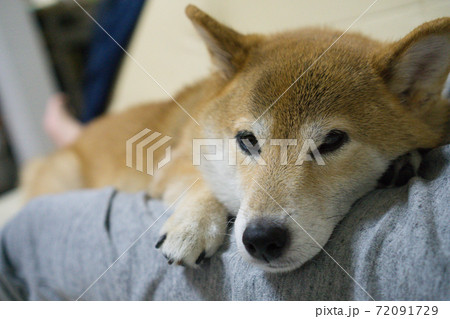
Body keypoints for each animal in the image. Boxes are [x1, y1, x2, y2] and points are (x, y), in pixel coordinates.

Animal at [25, 6, 450, 272]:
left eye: (331, 141)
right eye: (247, 140)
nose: (262, 239)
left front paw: (403, 162)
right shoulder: (170, 166)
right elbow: (203, 181)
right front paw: (193, 225)